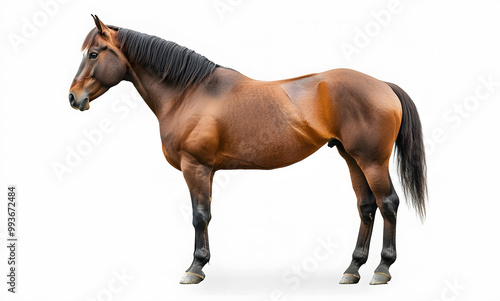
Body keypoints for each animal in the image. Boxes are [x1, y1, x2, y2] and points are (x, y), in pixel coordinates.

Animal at [69, 15, 426, 284]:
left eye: (94, 53)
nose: (74, 98)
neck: (189, 92)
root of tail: (382, 85)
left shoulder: (196, 167)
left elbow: (200, 216)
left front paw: (195, 268)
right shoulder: (204, 170)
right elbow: (204, 214)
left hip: (372, 161)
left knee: (388, 203)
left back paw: (382, 269)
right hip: (352, 159)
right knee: (367, 207)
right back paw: (353, 269)